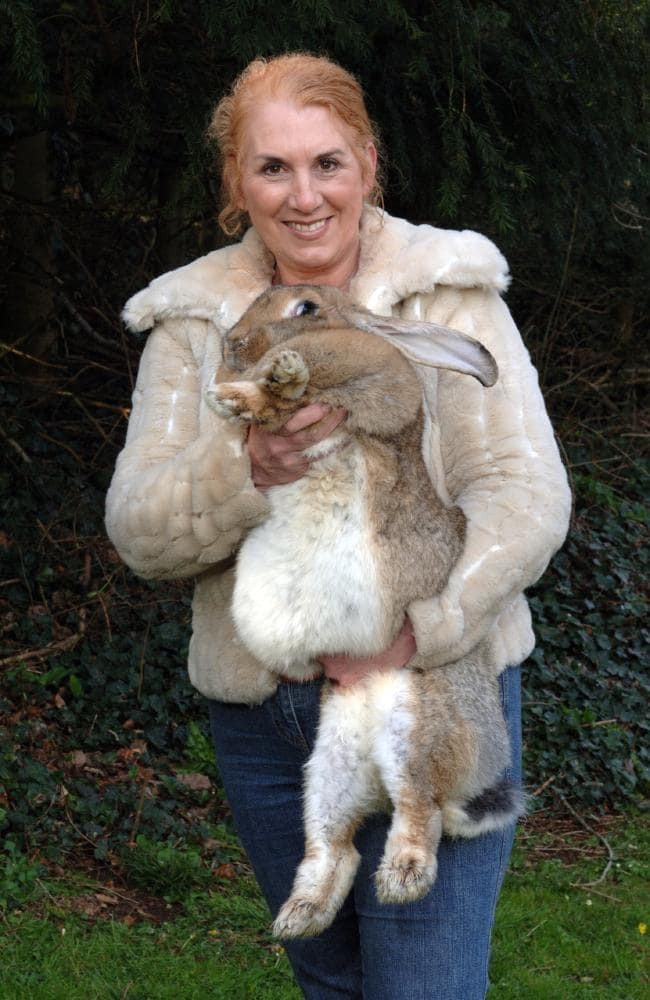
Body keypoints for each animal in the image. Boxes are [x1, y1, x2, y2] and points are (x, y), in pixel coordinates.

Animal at [206, 286, 520, 940]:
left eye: (305, 307)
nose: (235, 345)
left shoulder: (378, 389)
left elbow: (302, 392)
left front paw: (254, 388)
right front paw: (234, 395)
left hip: (419, 728)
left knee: (421, 810)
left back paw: (402, 878)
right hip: (329, 770)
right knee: (336, 847)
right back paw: (298, 918)